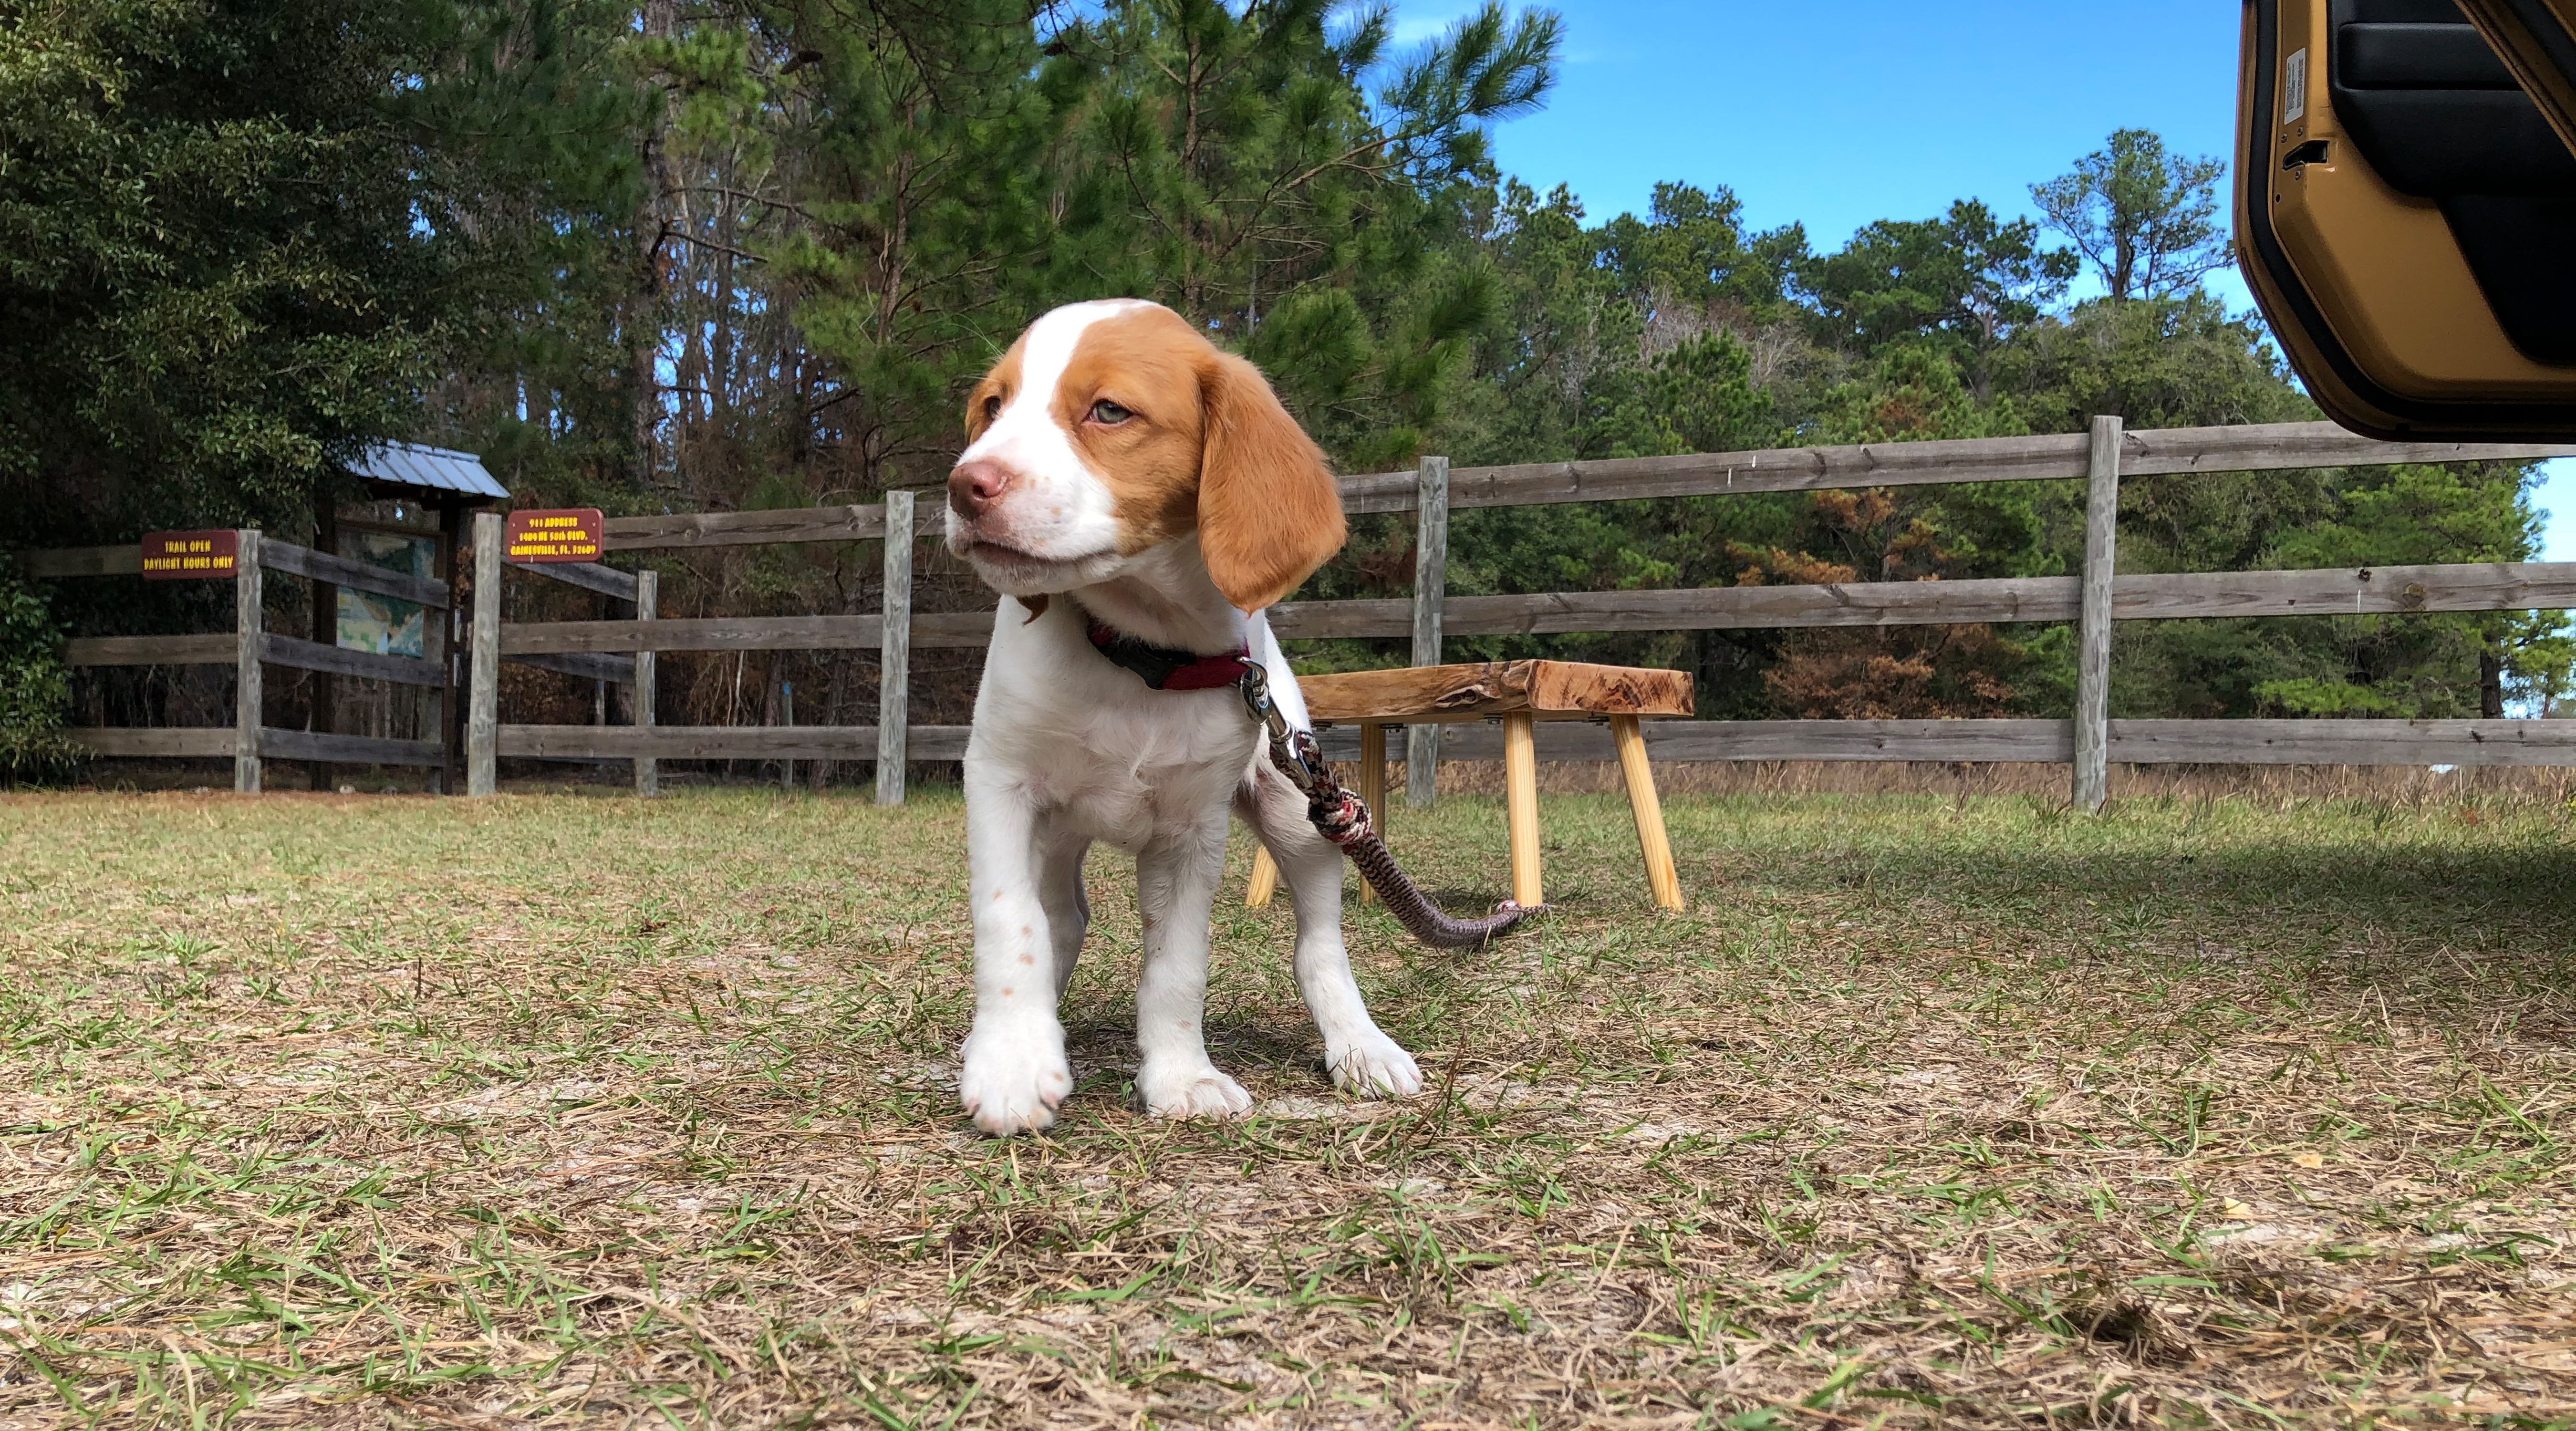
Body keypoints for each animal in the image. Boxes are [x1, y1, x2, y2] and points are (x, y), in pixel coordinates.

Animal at [953, 296, 1432, 1132]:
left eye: (1109, 411)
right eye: (993, 408)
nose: (963, 486)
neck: (1142, 652)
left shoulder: (1192, 830)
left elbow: (1178, 965)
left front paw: (1182, 1076)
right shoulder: (1000, 783)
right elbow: (1012, 924)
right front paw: (1011, 1060)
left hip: (1299, 811)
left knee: (1321, 947)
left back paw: (1361, 1046)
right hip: (1059, 829)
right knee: (1059, 916)